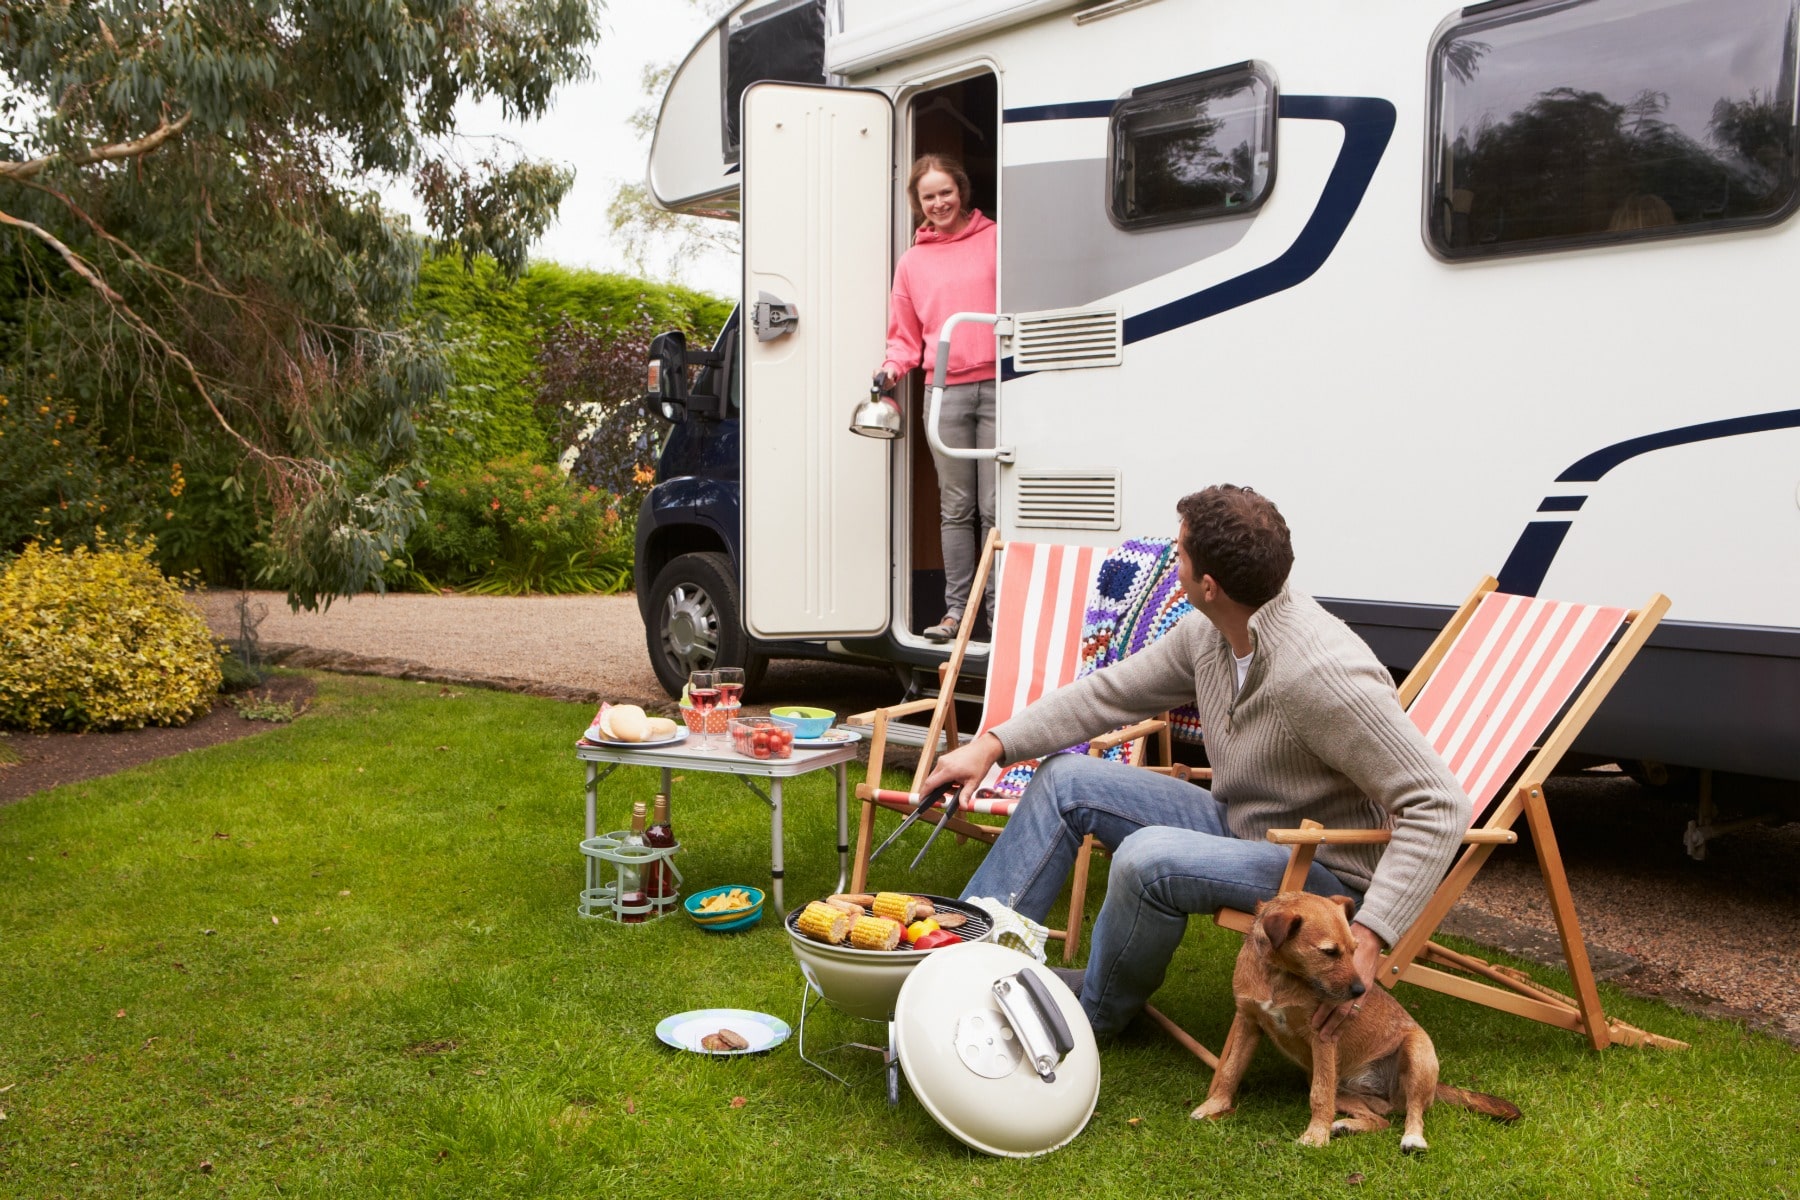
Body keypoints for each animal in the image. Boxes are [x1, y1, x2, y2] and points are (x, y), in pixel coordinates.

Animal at [1195, 892, 1519, 1151]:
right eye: (1329, 952)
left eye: (1355, 949)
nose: (1360, 991)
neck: (1281, 976)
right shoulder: (1248, 1022)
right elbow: (1230, 1070)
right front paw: (1214, 1106)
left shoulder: (1322, 1038)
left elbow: (1319, 1096)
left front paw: (1315, 1136)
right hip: (1346, 1090)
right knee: (1380, 1120)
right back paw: (1347, 1126)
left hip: (1417, 1053)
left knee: (1413, 1112)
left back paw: (1412, 1139)